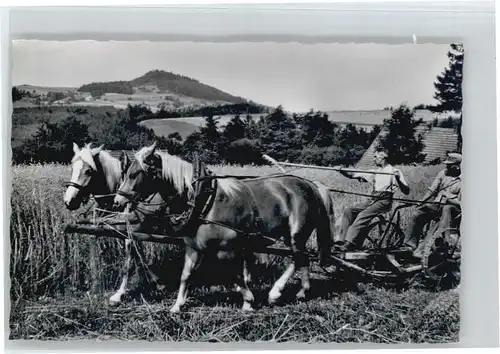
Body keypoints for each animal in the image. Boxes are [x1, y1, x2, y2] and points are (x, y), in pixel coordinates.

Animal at [63, 142, 166, 306]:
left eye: (89, 171)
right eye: (72, 167)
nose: (68, 201)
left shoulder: (130, 233)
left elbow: (129, 261)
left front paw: (119, 294)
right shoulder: (119, 231)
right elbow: (138, 254)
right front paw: (153, 280)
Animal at [111, 142, 334, 312]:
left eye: (135, 174)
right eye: (126, 172)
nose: (117, 201)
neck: (203, 201)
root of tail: (310, 184)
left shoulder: (226, 250)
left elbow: (234, 275)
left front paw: (248, 301)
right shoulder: (193, 247)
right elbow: (186, 275)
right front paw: (177, 305)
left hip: (297, 232)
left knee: (297, 257)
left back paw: (275, 292)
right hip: (291, 235)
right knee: (302, 258)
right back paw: (302, 291)